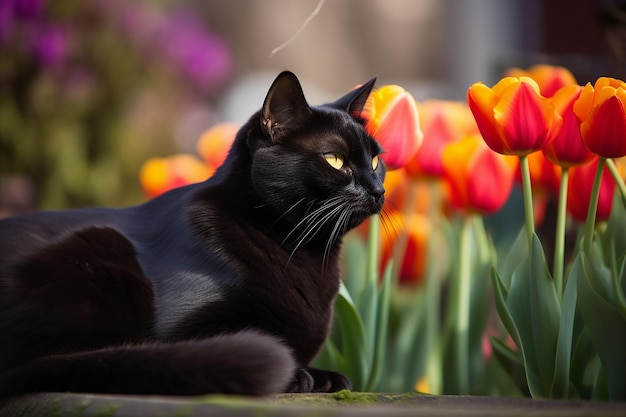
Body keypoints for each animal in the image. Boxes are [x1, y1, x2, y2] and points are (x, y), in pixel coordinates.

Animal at [0, 71, 386, 396]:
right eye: (335, 159)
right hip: (97, 249)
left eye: (375, 161)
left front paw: (325, 376)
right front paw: (303, 375)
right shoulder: (182, 329)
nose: (377, 189)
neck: (305, 252)